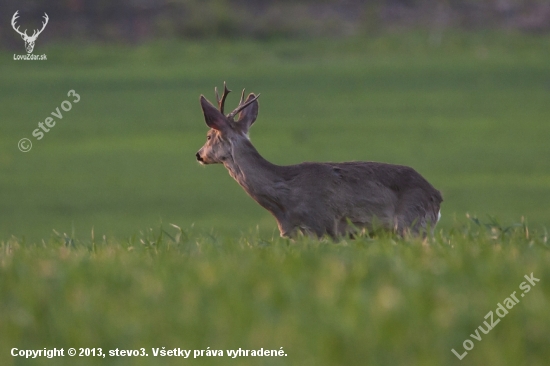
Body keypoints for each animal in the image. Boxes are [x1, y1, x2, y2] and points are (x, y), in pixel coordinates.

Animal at [195, 83, 444, 239]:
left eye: (208, 136)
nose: (198, 154)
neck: (284, 199)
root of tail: (436, 195)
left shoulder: (321, 224)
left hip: (412, 224)